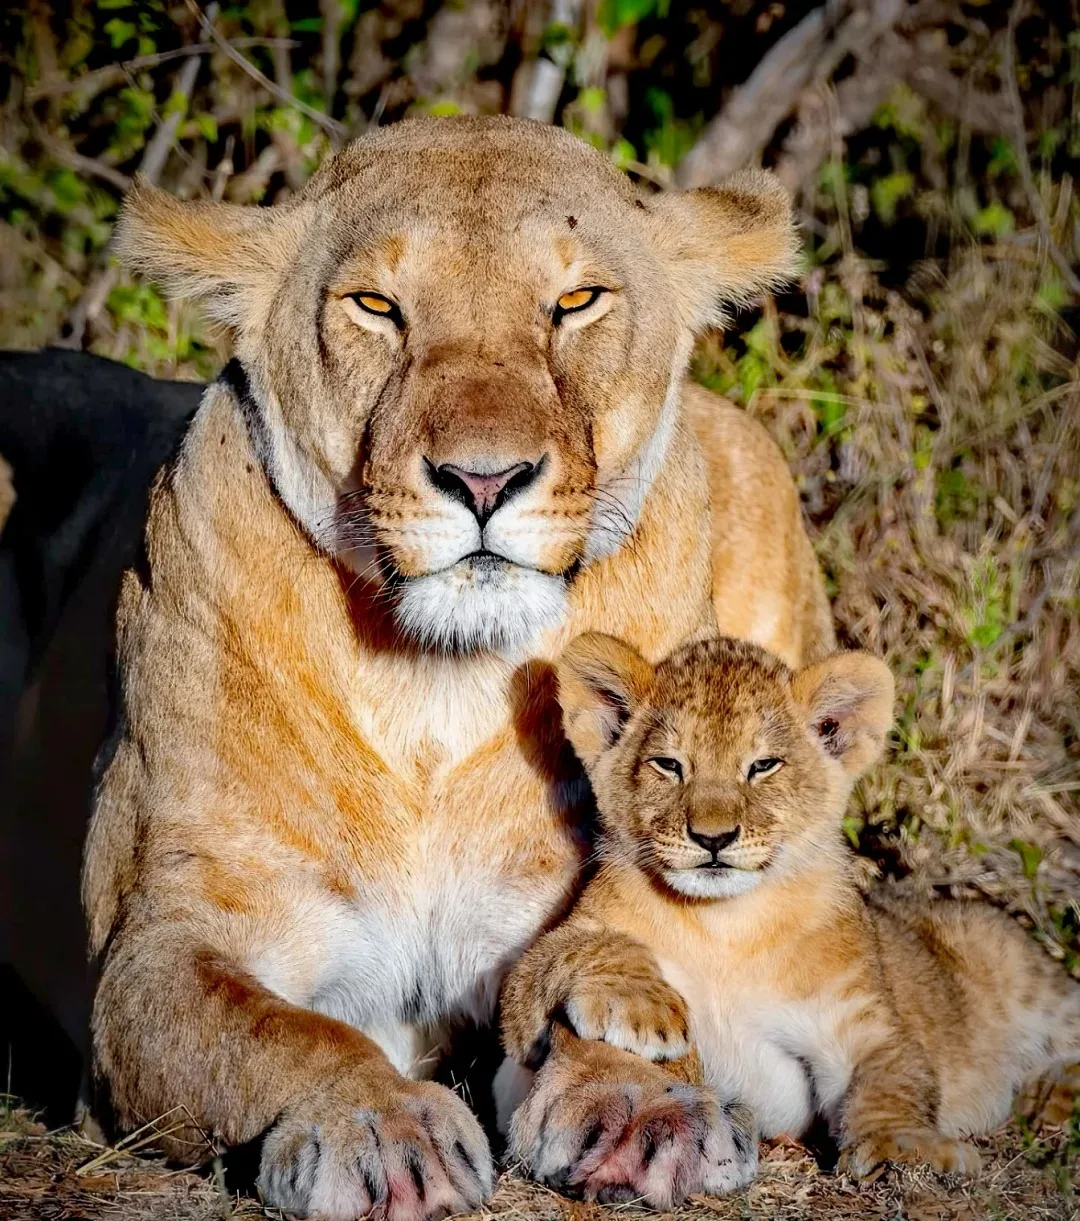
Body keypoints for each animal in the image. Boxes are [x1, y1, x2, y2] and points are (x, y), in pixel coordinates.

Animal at [83, 116, 834, 1220]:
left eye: (575, 301)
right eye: (376, 306)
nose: (484, 479)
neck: (434, 682)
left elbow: (616, 979)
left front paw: (647, 1108)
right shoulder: (157, 945)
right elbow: (277, 1029)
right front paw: (380, 1128)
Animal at [502, 633, 1080, 1186]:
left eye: (763, 766)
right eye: (668, 765)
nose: (713, 838)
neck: (725, 925)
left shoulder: (859, 1019)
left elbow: (894, 1073)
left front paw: (904, 1148)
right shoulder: (520, 1015)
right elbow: (572, 950)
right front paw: (642, 1008)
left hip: (1014, 966)